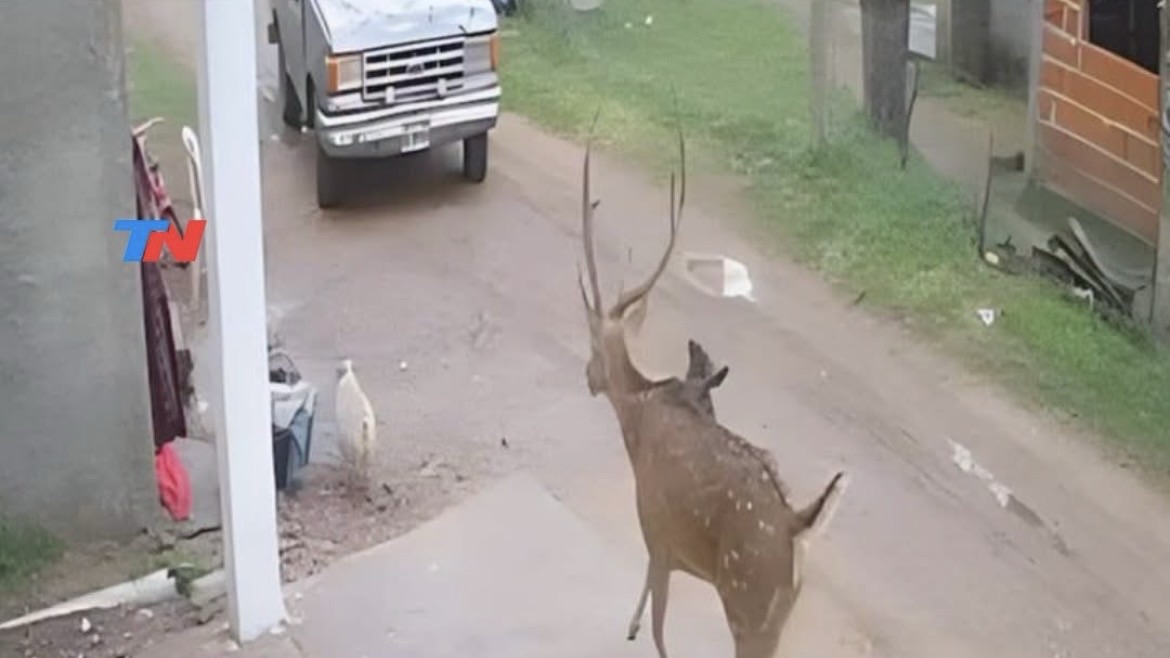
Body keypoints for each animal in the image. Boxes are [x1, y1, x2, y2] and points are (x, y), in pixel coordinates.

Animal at [574, 116, 847, 658]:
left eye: (593, 343)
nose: (588, 376)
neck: (638, 417)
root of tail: (797, 525)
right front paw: (629, 624)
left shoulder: (656, 530)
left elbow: (661, 634)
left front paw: (635, 630)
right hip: (777, 612)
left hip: (748, 600)